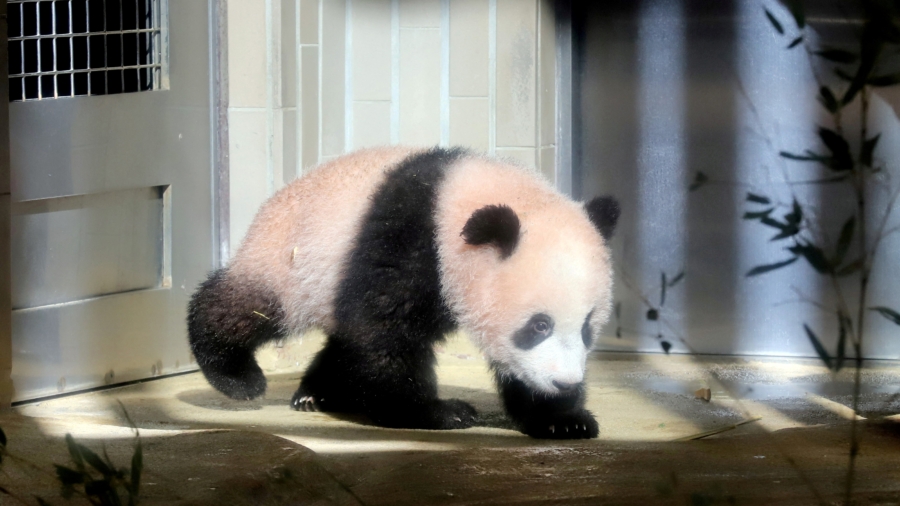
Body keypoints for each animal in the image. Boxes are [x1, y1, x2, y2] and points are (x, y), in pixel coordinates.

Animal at [187, 146, 619, 439]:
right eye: (539, 326)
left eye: (587, 328)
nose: (564, 383)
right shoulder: (407, 238)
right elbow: (384, 331)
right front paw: (438, 413)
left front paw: (561, 419)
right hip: (288, 262)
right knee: (247, 308)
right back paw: (237, 376)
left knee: (342, 336)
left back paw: (317, 392)